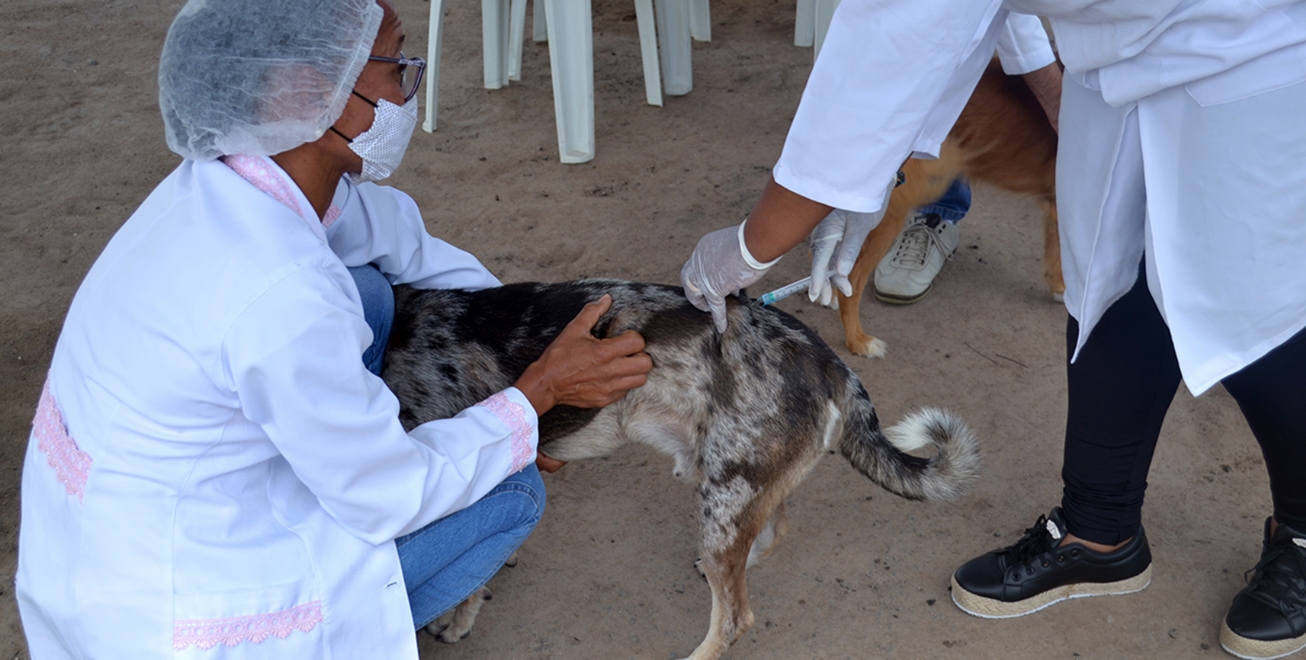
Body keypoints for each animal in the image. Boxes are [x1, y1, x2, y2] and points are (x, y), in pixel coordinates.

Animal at [381, 280, 982, 658]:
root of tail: (825, 358)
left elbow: (467, 582)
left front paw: (459, 617)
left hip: (722, 499)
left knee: (735, 616)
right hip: (739, 488)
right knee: (774, 531)